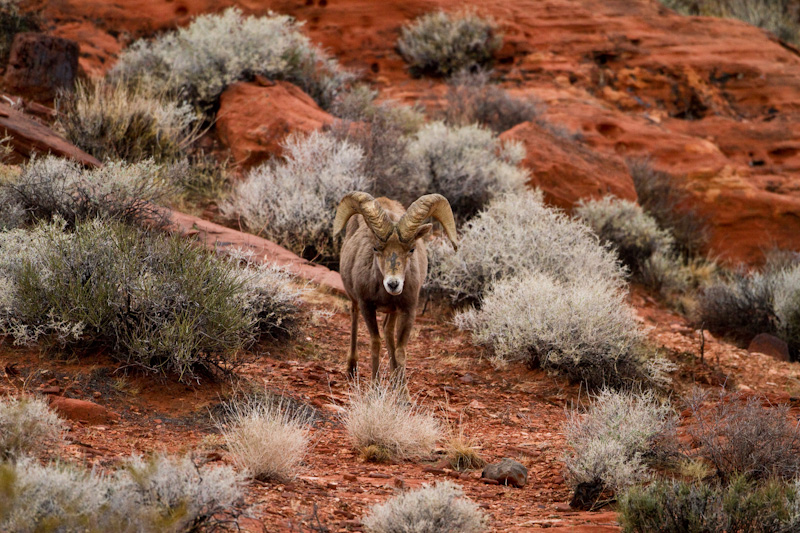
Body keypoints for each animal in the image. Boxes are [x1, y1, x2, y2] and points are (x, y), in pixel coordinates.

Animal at [332, 193, 456, 380]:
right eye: (376, 248)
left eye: (411, 249)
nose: (393, 284)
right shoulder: (367, 306)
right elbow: (375, 343)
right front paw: (374, 384)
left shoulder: (407, 309)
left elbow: (400, 349)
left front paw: (401, 387)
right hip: (354, 300)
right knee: (354, 317)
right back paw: (352, 368)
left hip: (393, 311)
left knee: (388, 332)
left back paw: (394, 376)